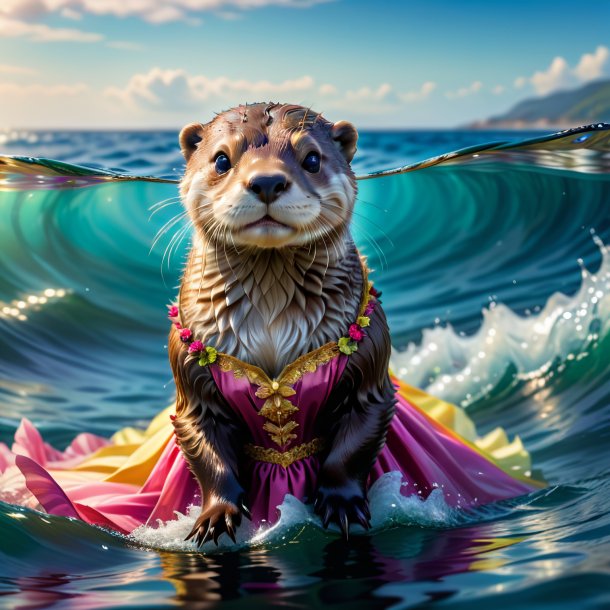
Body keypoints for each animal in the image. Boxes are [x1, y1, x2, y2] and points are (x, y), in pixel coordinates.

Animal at [167, 102, 394, 544]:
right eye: (222, 159)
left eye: (312, 159)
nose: (267, 180)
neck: (272, 327)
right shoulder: (189, 372)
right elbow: (207, 451)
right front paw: (215, 516)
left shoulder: (370, 361)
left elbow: (352, 446)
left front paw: (342, 504)